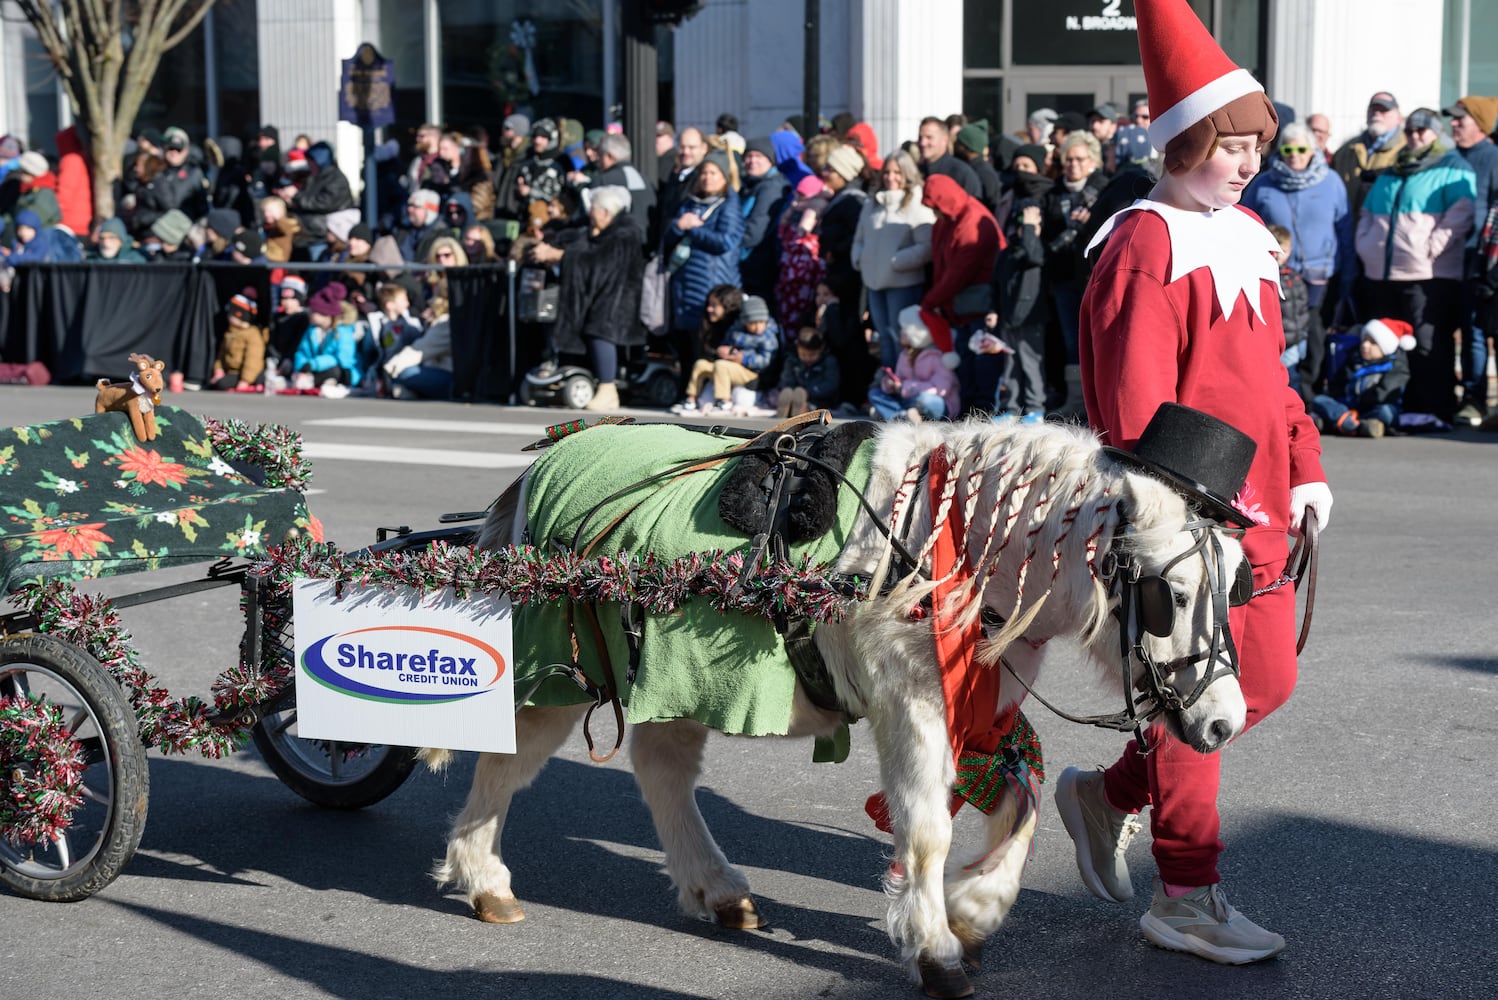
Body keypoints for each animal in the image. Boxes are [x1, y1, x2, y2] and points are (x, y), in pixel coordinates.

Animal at [425, 419, 1252, 994]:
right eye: (1174, 595)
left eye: (1238, 585)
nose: (1224, 722)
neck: (947, 542)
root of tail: (536, 469)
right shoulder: (910, 703)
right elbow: (925, 830)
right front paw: (936, 948)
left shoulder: (978, 703)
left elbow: (1020, 801)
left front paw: (973, 911)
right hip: (566, 663)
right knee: (511, 756)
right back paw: (484, 879)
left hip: (667, 674)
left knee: (663, 769)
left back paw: (717, 889)